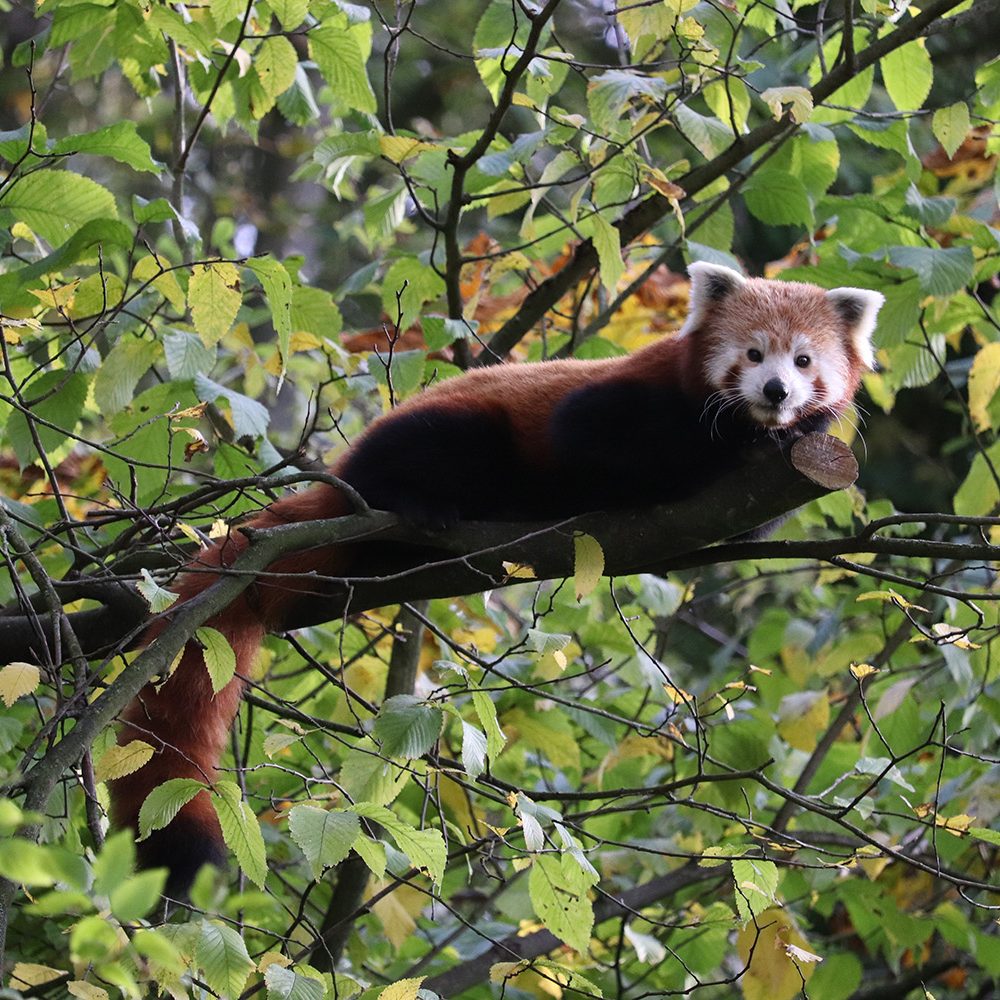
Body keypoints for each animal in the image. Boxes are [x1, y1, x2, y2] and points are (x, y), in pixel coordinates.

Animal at [111, 262, 884, 888]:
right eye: (753, 353)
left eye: (805, 360)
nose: (777, 391)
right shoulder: (623, 404)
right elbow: (610, 443)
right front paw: (736, 440)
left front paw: (792, 433)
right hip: (446, 434)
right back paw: (419, 504)